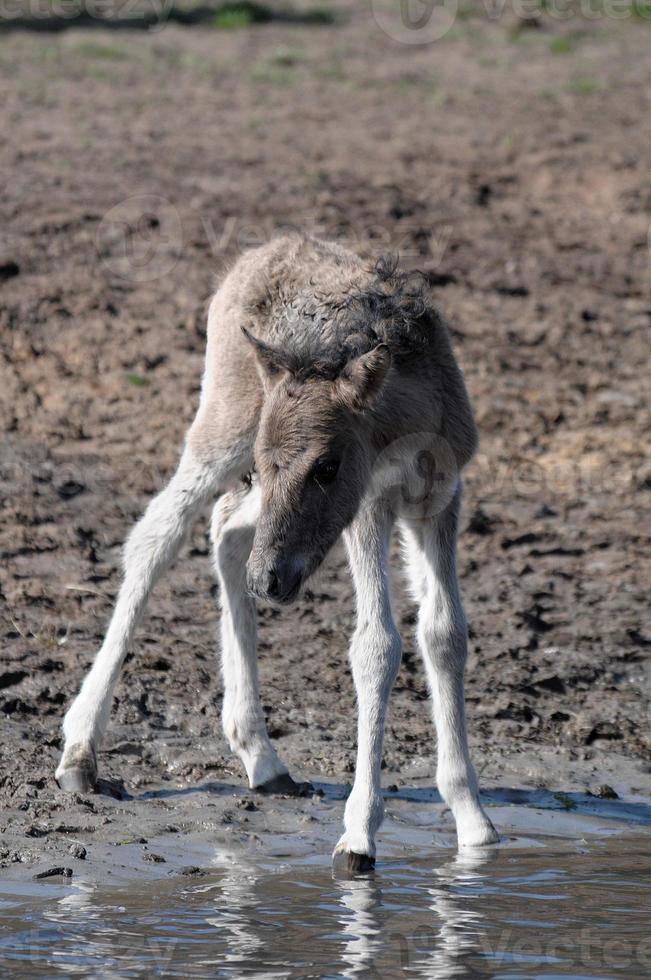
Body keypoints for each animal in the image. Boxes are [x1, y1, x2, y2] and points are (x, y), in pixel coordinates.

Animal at [59, 234, 500, 868]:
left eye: (327, 467)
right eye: (276, 462)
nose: (270, 580)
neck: (409, 419)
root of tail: (254, 256)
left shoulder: (439, 498)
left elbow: (444, 633)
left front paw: (473, 820)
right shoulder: (370, 504)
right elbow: (376, 645)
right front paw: (358, 834)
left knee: (225, 529)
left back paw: (262, 757)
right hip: (224, 429)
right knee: (158, 533)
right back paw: (79, 753)